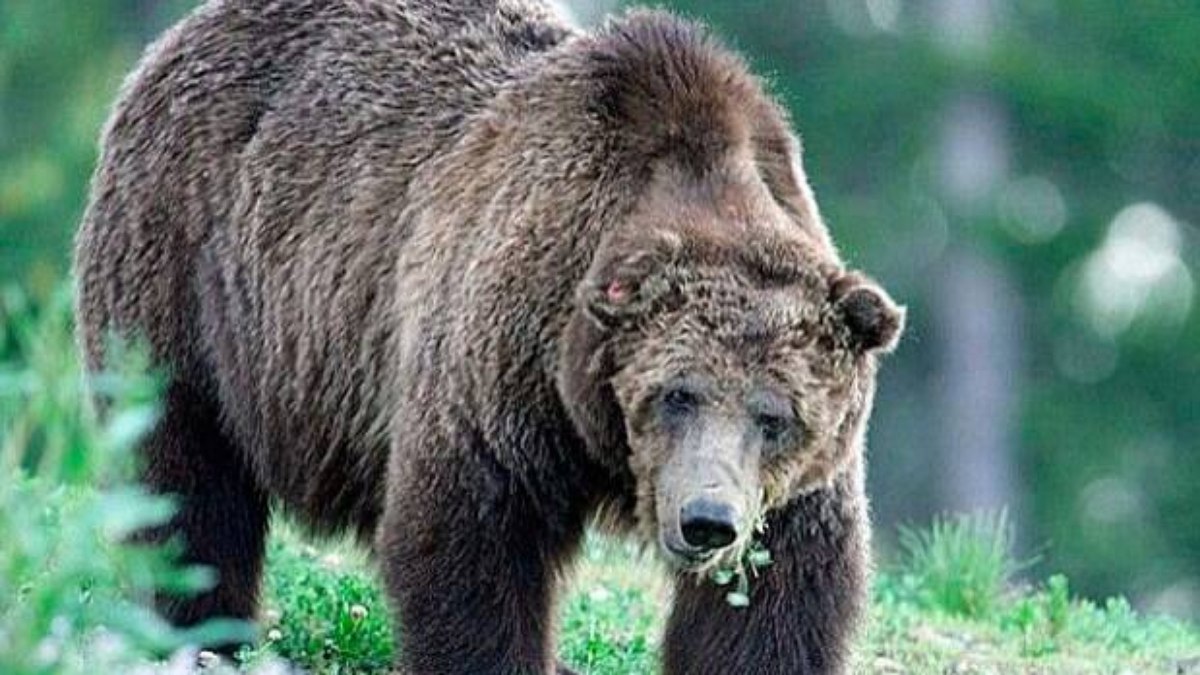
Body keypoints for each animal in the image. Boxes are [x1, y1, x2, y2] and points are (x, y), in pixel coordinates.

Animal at [74, 1, 903, 673]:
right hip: (188, 270)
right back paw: (200, 628)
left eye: (777, 415)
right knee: (183, 473)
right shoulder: (506, 360)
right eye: (676, 394)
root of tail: (184, 33)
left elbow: (779, 595)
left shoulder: (798, 484)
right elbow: (471, 546)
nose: (706, 521)